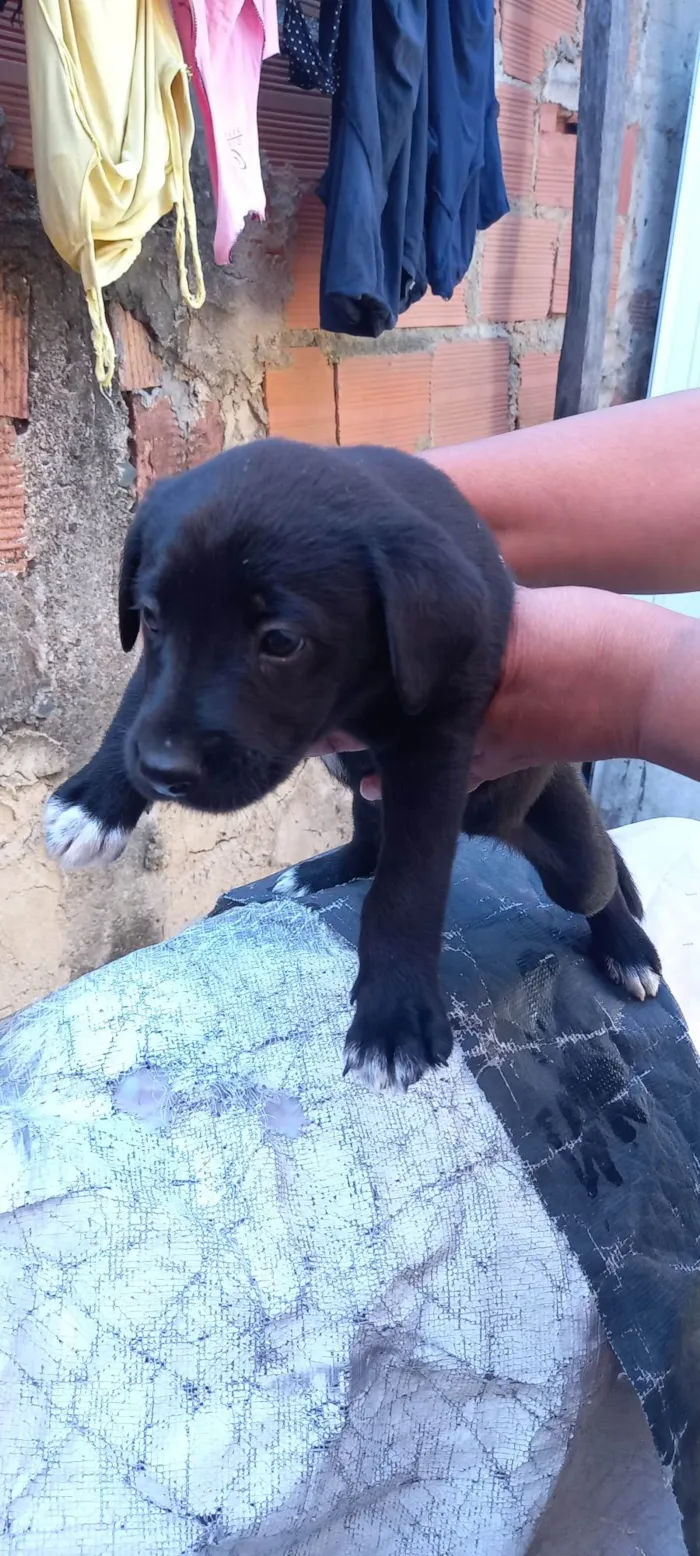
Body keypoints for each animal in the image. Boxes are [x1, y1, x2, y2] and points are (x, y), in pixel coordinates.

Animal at [45, 438, 662, 1089]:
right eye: (151, 618)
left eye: (281, 642)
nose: (162, 773)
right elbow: (136, 704)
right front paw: (92, 805)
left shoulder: (436, 742)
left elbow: (406, 886)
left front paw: (393, 1013)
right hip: (361, 787)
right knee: (370, 838)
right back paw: (320, 871)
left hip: (562, 845)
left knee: (596, 882)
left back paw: (628, 949)